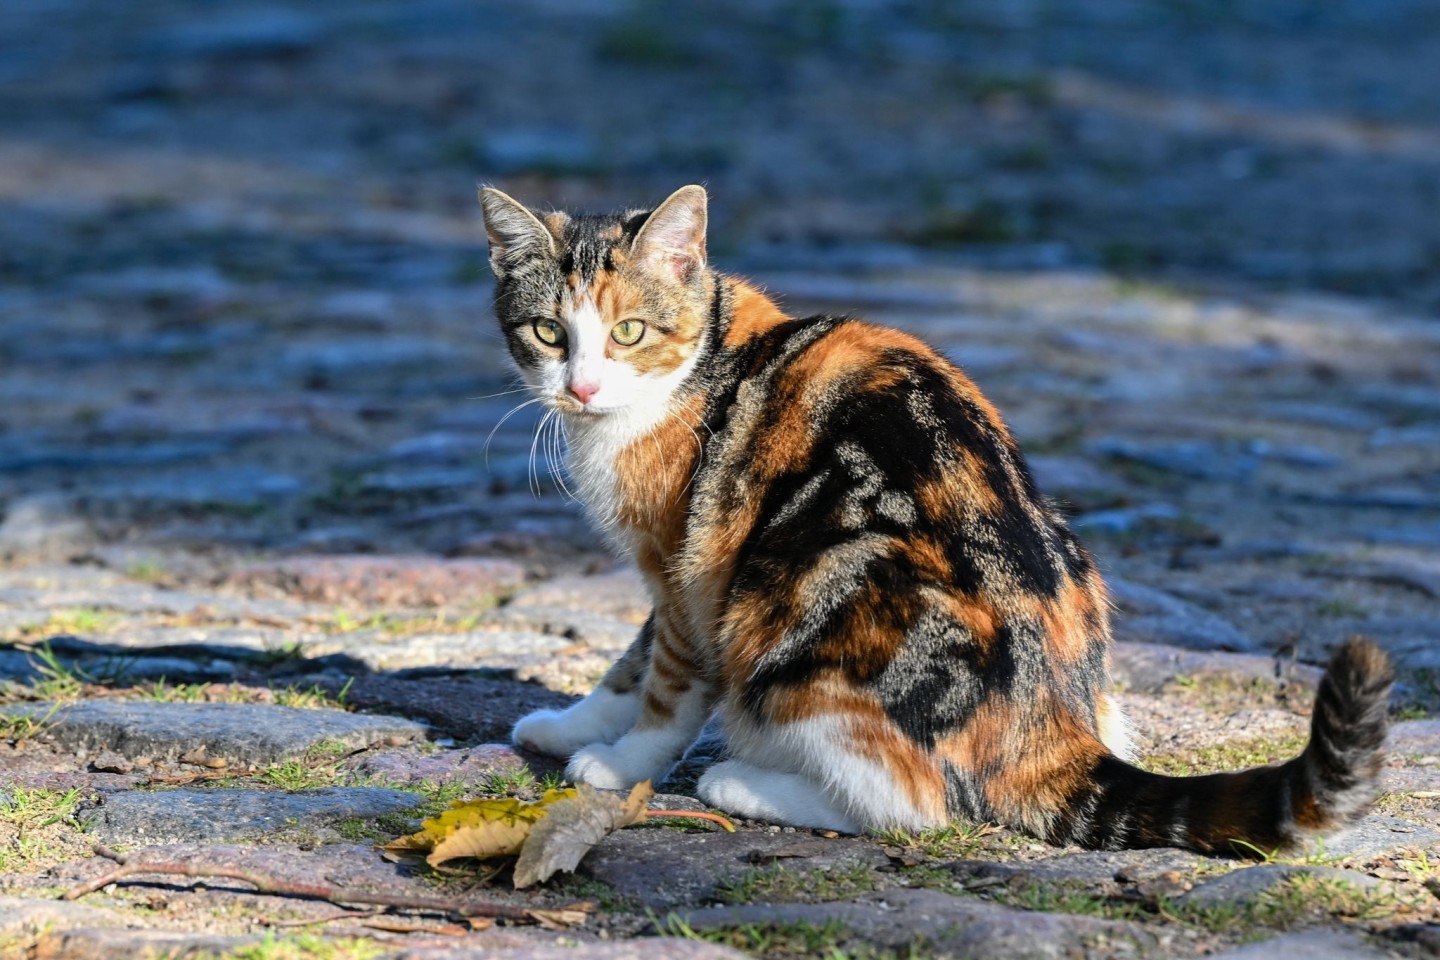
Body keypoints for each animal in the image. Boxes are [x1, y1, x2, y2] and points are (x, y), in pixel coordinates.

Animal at [483, 184, 1393, 852]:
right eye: (549, 332)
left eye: (630, 331)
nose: (582, 387)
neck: (703, 362)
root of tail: (1051, 727)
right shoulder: (669, 573)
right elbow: (630, 658)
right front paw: (569, 725)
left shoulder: (690, 564)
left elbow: (669, 681)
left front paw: (620, 763)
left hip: (800, 601)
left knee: (918, 806)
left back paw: (743, 783)